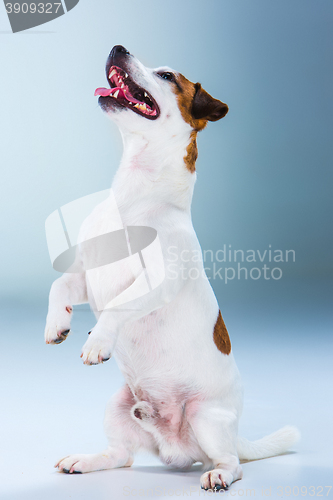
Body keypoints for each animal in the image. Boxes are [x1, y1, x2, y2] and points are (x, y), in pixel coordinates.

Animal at [44, 45, 298, 490]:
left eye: (166, 75)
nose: (118, 47)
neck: (134, 196)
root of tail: (174, 449)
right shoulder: (88, 278)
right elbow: (59, 287)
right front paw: (56, 324)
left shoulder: (156, 281)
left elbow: (120, 305)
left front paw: (97, 340)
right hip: (117, 406)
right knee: (121, 456)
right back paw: (86, 459)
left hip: (205, 417)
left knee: (233, 462)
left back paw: (218, 474)